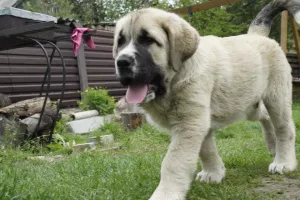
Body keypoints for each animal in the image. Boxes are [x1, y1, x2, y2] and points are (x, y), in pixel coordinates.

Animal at [112, 0, 298, 199]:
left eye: (148, 40)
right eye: (120, 42)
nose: (121, 62)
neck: (175, 79)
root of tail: (257, 35)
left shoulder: (189, 122)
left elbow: (173, 162)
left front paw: (166, 193)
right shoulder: (198, 120)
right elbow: (206, 149)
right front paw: (213, 172)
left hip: (276, 97)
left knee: (284, 128)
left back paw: (284, 162)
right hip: (250, 104)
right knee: (265, 117)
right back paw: (273, 146)